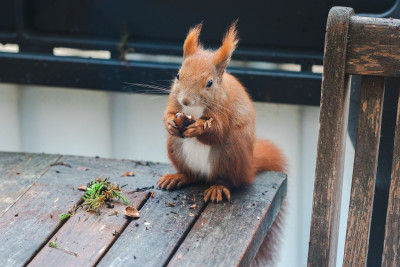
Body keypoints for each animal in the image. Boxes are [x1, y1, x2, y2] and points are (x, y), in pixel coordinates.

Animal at [158, 22, 286, 203]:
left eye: (209, 83)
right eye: (177, 75)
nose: (185, 101)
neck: (195, 109)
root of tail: (248, 169)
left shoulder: (224, 107)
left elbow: (218, 131)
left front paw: (199, 128)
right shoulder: (174, 100)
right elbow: (168, 113)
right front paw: (170, 123)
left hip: (232, 153)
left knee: (230, 180)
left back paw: (218, 187)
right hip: (175, 148)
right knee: (191, 175)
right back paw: (178, 177)